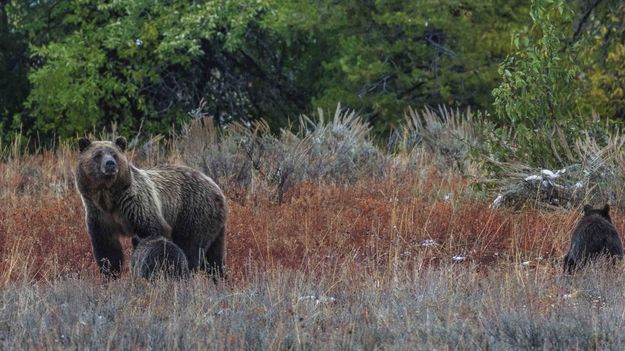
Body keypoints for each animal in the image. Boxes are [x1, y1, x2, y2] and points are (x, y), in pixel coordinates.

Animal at [76, 138, 227, 280]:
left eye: (114, 154)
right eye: (97, 155)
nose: (110, 164)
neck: (108, 199)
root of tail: (216, 187)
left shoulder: (136, 205)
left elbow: (155, 231)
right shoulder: (99, 216)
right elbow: (107, 250)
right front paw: (110, 275)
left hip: (194, 212)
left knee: (191, 247)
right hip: (215, 227)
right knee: (214, 258)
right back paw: (219, 278)